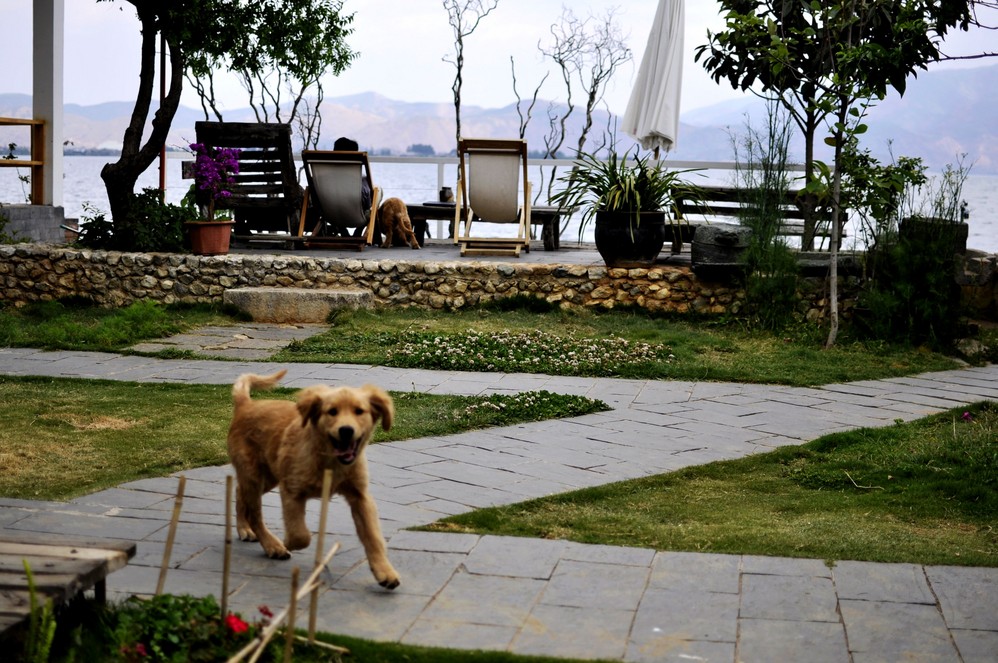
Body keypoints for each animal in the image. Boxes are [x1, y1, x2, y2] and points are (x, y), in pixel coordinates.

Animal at [226, 369, 400, 589]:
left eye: (359, 411)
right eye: (332, 412)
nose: (346, 430)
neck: (328, 460)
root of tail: (246, 405)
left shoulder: (360, 497)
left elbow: (373, 537)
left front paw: (385, 572)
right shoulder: (291, 490)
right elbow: (300, 535)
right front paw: (286, 542)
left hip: (268, 476)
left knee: (240, 492)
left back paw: (245, 529)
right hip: (255, 475)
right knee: (255, 513)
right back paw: (272, 545)